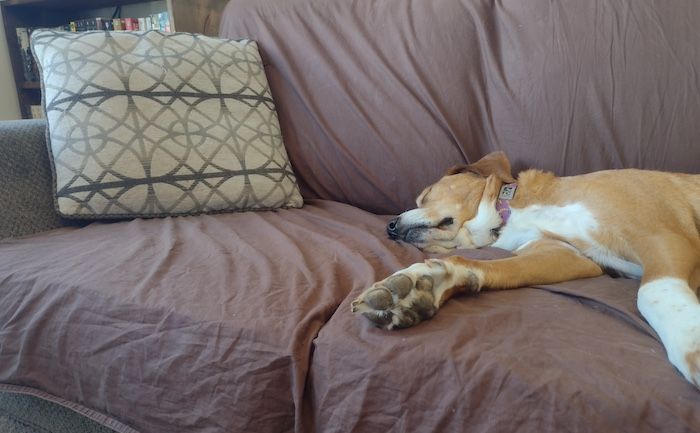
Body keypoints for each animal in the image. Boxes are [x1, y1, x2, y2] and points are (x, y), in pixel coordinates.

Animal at [352, 151, 700, 388]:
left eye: (424, 195)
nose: (389, 227)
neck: (509, 213)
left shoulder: (663, 236)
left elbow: (651, 292)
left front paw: (691, 345)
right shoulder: (564, 254)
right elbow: (483, 266)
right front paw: (423, 285)